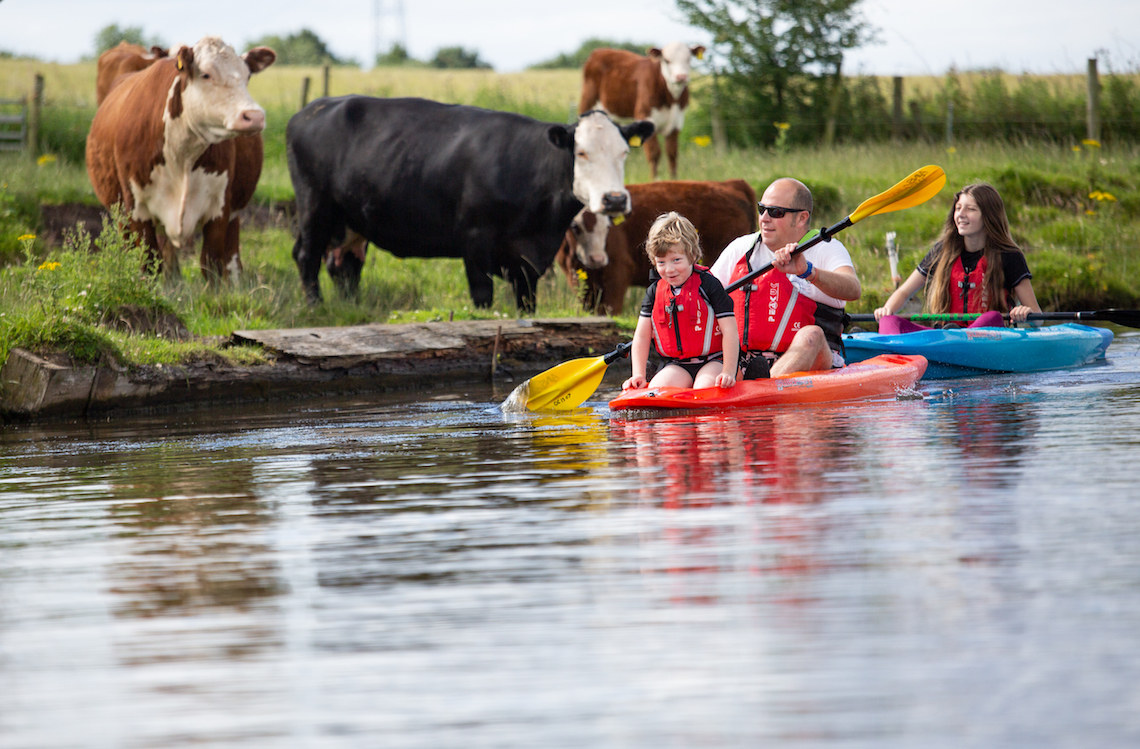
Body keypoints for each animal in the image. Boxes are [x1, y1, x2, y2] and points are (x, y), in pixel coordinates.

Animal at [84, 36, 275, 279]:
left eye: (247, 75)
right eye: (206, 74)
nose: (254, 116)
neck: (181, 154)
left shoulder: (220, 209)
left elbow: (211, 266)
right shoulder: (136, 211)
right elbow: (148, 266)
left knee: (230, 258)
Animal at [285, 98, 656, 310]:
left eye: (624, 152)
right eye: (581, 152)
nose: (614, 199)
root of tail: (310, 109)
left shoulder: (529, 260)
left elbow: (527, 303)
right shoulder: (475, 242)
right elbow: (482, 295)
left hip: (350, 220)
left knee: (344, 264)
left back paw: (351, 307)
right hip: (315, 206)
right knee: (307, 256)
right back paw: (316, 307)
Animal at [579, 42, 702, 180]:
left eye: (689, 59)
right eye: (666, 60)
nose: (681, 77)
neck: (670, 97)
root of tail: (600, 50)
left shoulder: (676, 121)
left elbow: (672, 152)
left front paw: (673, 179)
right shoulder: (645, 116)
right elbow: (654, 152)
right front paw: (654, 179)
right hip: (588, 104)